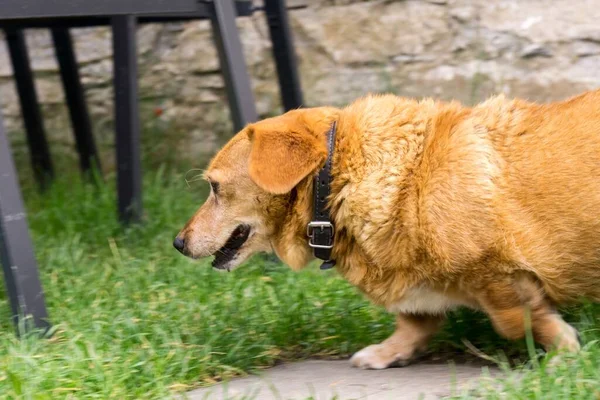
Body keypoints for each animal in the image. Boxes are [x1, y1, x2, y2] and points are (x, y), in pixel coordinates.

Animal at [173, 89, 600, 368]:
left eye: (214, 188)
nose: (177, 242)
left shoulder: (495, 274)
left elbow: (514, 319)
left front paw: (563, 352)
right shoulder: (416, 288)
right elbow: (414, 323)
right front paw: (387, 352)